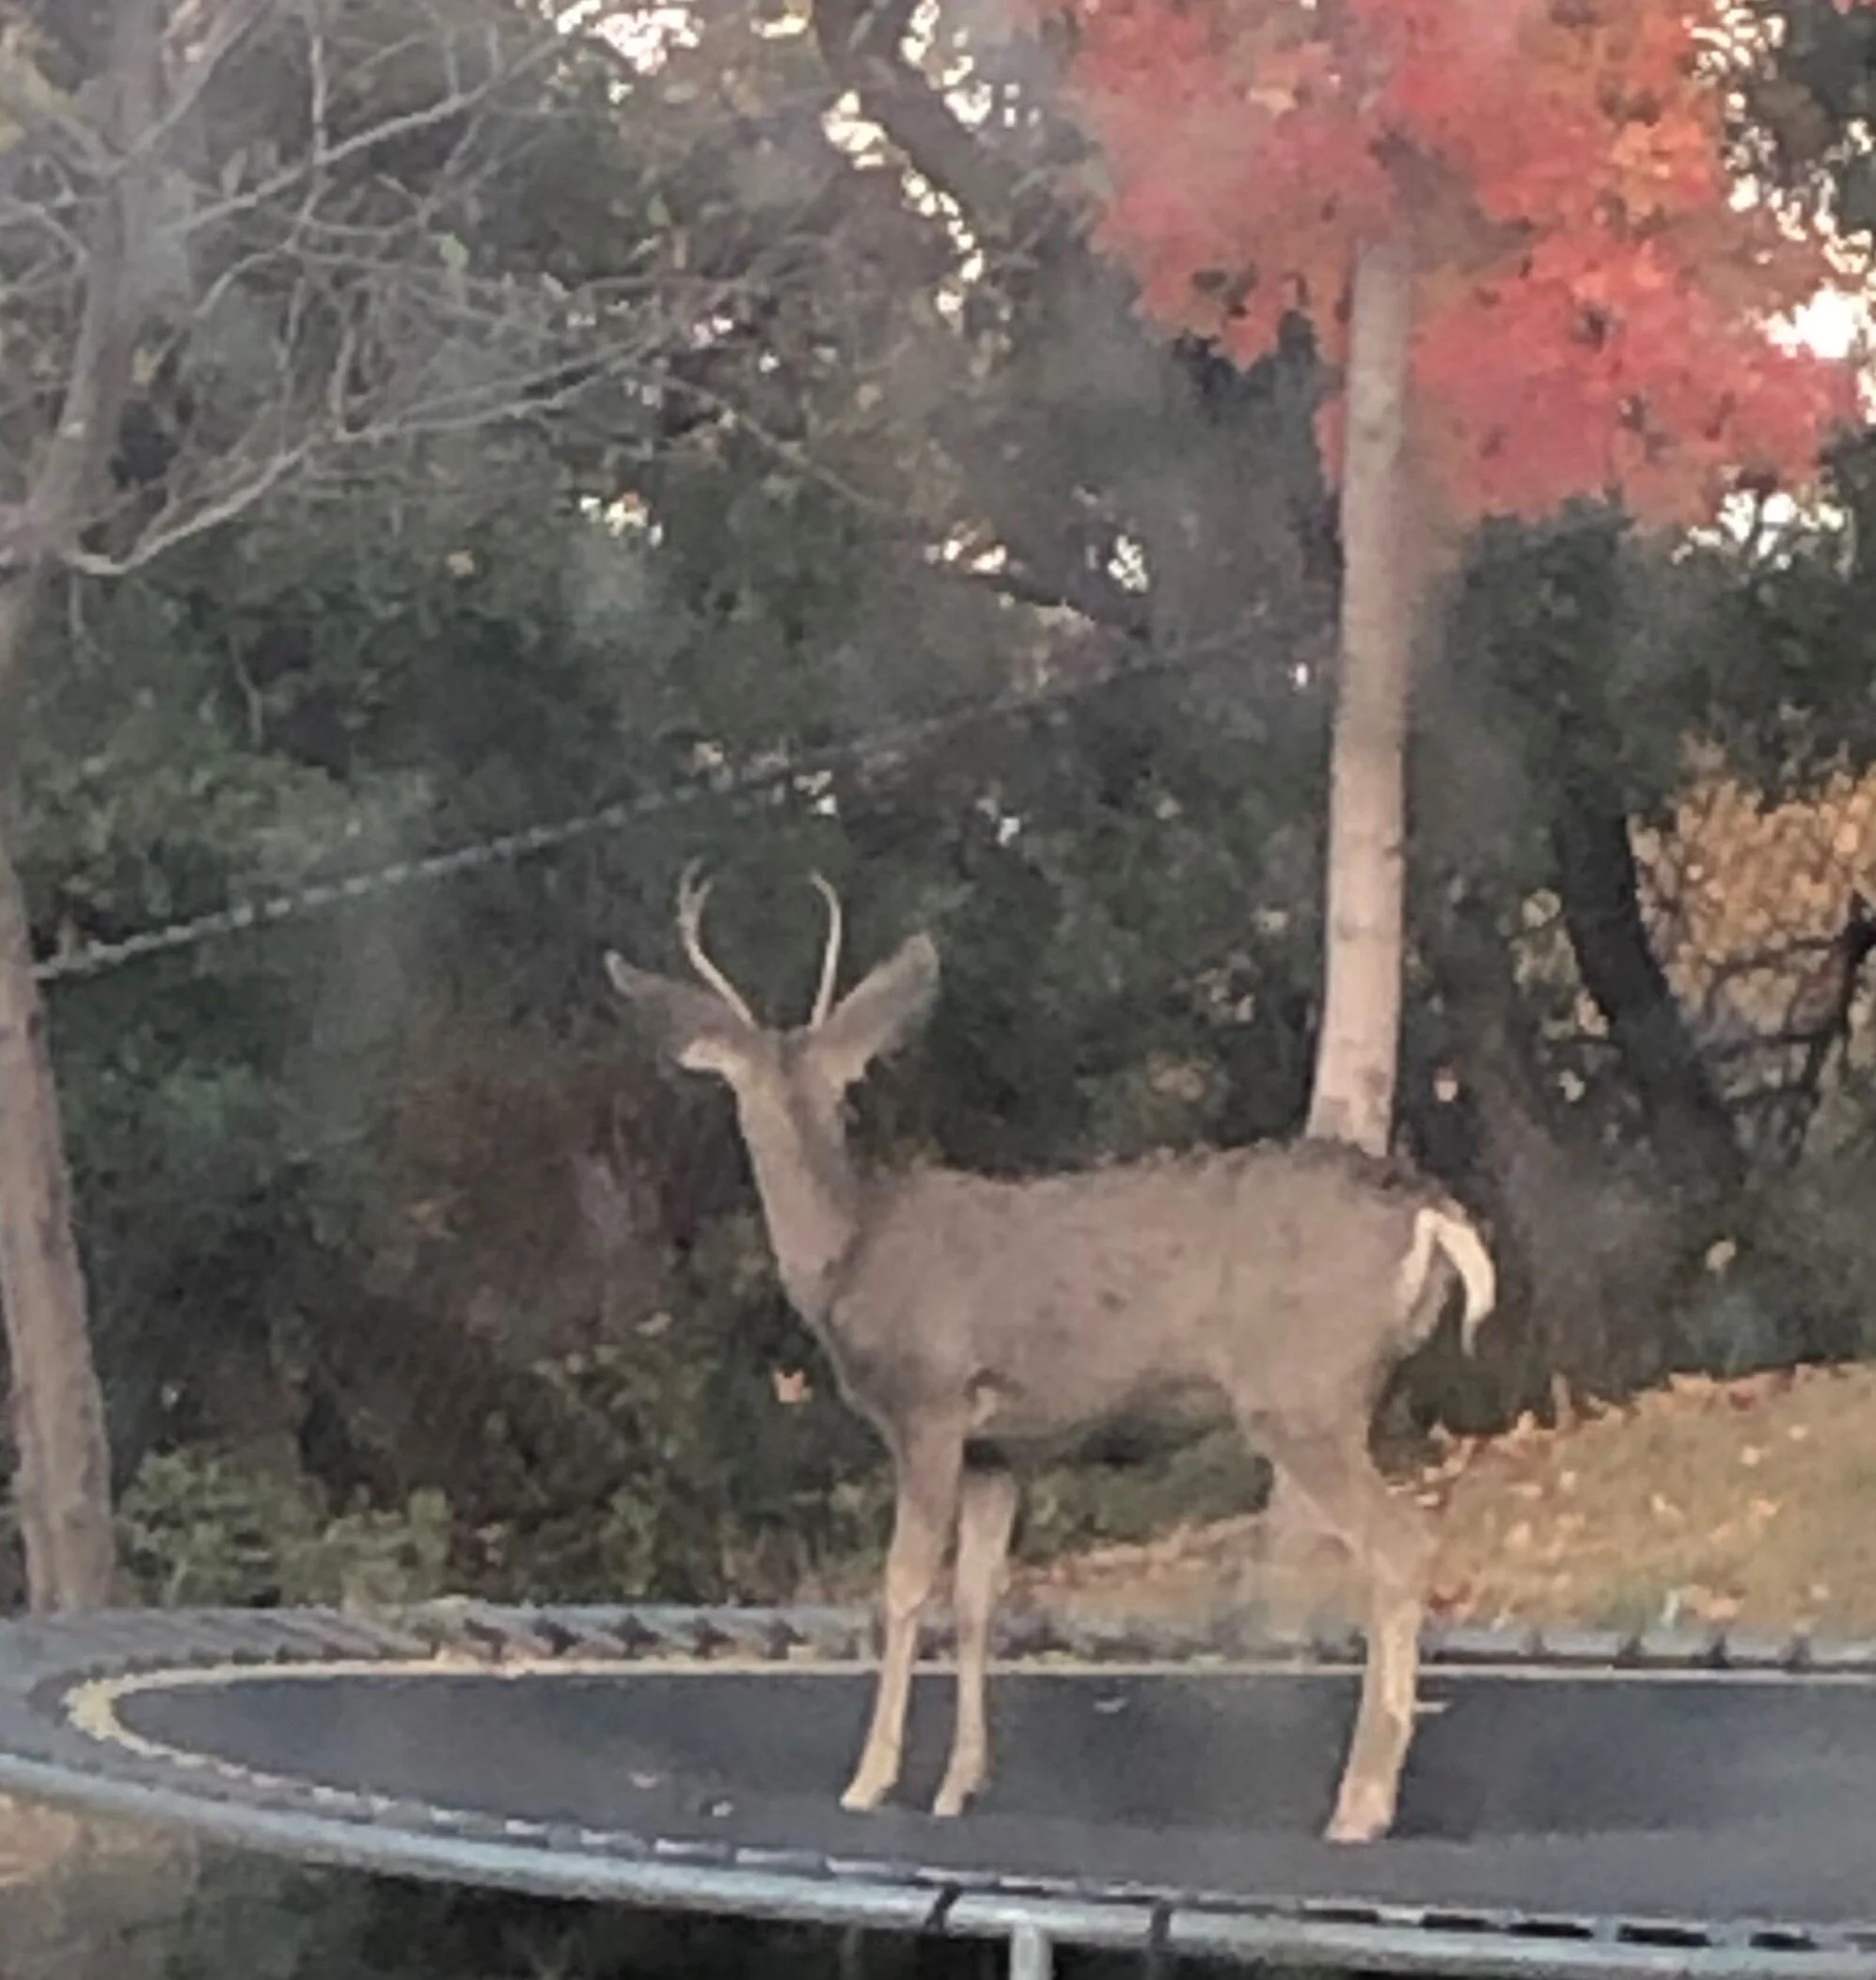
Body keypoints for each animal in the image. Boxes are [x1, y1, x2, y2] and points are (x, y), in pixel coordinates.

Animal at [603, 867, 1497, 1844]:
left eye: (839, 1083)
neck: (849, 1256)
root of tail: (1428, 1211)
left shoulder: (929, 1404)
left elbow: (903, 1586)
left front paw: (871, 1780)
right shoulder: (998, 1451)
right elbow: (976, 1599)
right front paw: (960, 1784)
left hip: (1299, 1390)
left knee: (1399, 1545)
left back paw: (1359, 1804)